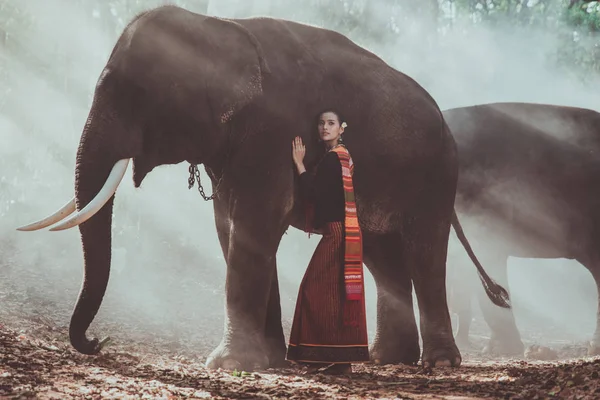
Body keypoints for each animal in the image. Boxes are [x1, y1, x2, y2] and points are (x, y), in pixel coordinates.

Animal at [16, 4, 508, 370]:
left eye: (135, 94)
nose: (98, 341)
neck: (218, 27)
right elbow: (230, 227)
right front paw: (270, 361)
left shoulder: (272, 132)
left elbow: (257, 223)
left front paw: (229, 365)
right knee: (381, 254)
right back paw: (385, 359)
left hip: (437, 175)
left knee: (426, 252)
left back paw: (438, 364)